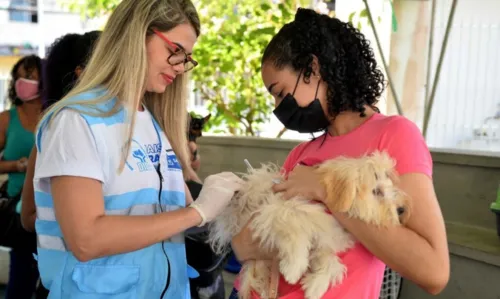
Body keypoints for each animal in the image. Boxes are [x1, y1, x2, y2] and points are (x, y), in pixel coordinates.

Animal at [209, 152, 408, 299]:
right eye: (376, 191)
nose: (401, 210)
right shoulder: (278, 209)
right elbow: (296, 232)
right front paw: (293, 269)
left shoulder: (323, 242)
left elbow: (332, 263)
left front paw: (315, 287)